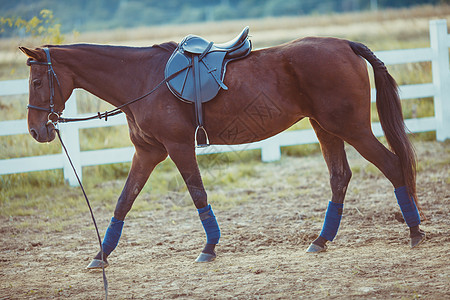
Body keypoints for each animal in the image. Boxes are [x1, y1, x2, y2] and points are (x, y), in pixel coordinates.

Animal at [18, 33, 426, 270]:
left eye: (37, 81)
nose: (38, 130)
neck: (142, 78)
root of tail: (344, 45)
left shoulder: (178, 147)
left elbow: (198, 194)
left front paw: (210, 247)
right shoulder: (147, 153)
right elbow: (123, 202)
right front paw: (101, 255)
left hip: (350, 128)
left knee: (392, 165)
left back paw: (415, 231)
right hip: (325, 127)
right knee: (340, 177)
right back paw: (321, 240)